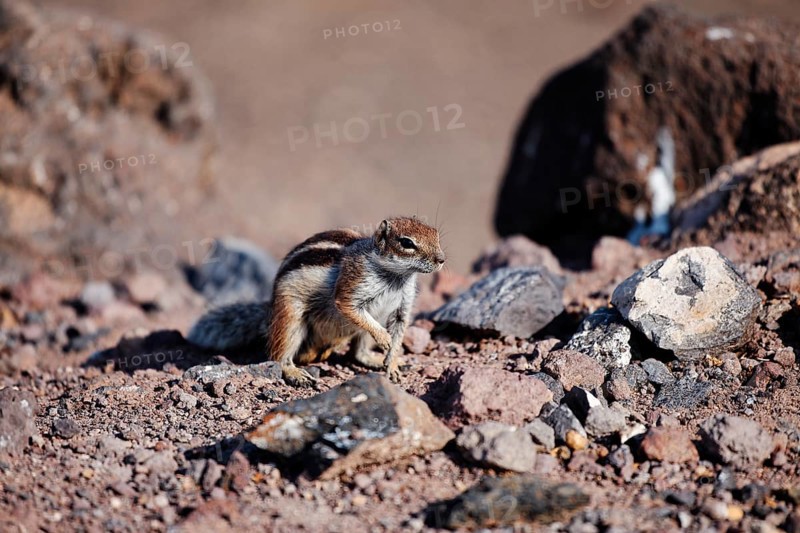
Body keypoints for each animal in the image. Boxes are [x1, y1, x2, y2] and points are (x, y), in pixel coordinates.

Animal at [187, 216, 445, 386]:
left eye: (436, 234)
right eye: (406, 243)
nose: (441, 259)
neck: (396, 277)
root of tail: (270, 311)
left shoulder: (403, 305)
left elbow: (400, 328)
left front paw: (392, 362)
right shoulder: (352, 285)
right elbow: (349, 306)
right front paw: (384, 338)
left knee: (359, 352)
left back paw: (374, 359)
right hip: (290, 316)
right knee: (278, 355)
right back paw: (295, 373)